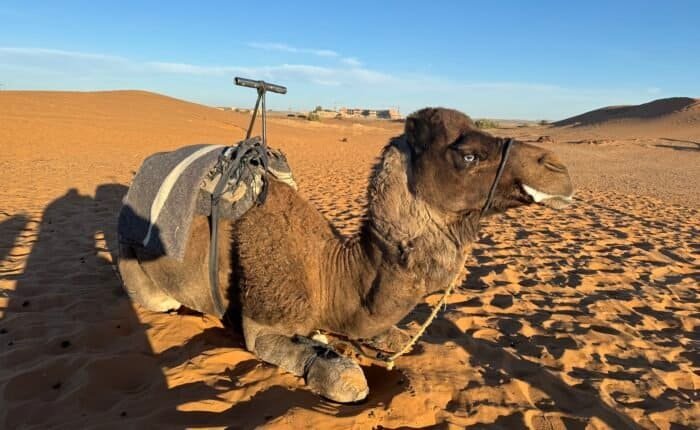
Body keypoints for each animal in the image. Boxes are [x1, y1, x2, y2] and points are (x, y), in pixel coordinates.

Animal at [118, 108, 574, 403]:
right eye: (468, 154)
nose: (559, 169)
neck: (329, 273)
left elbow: (394, 334)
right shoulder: (262, 323)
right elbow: (347, 379)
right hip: (133, 261)